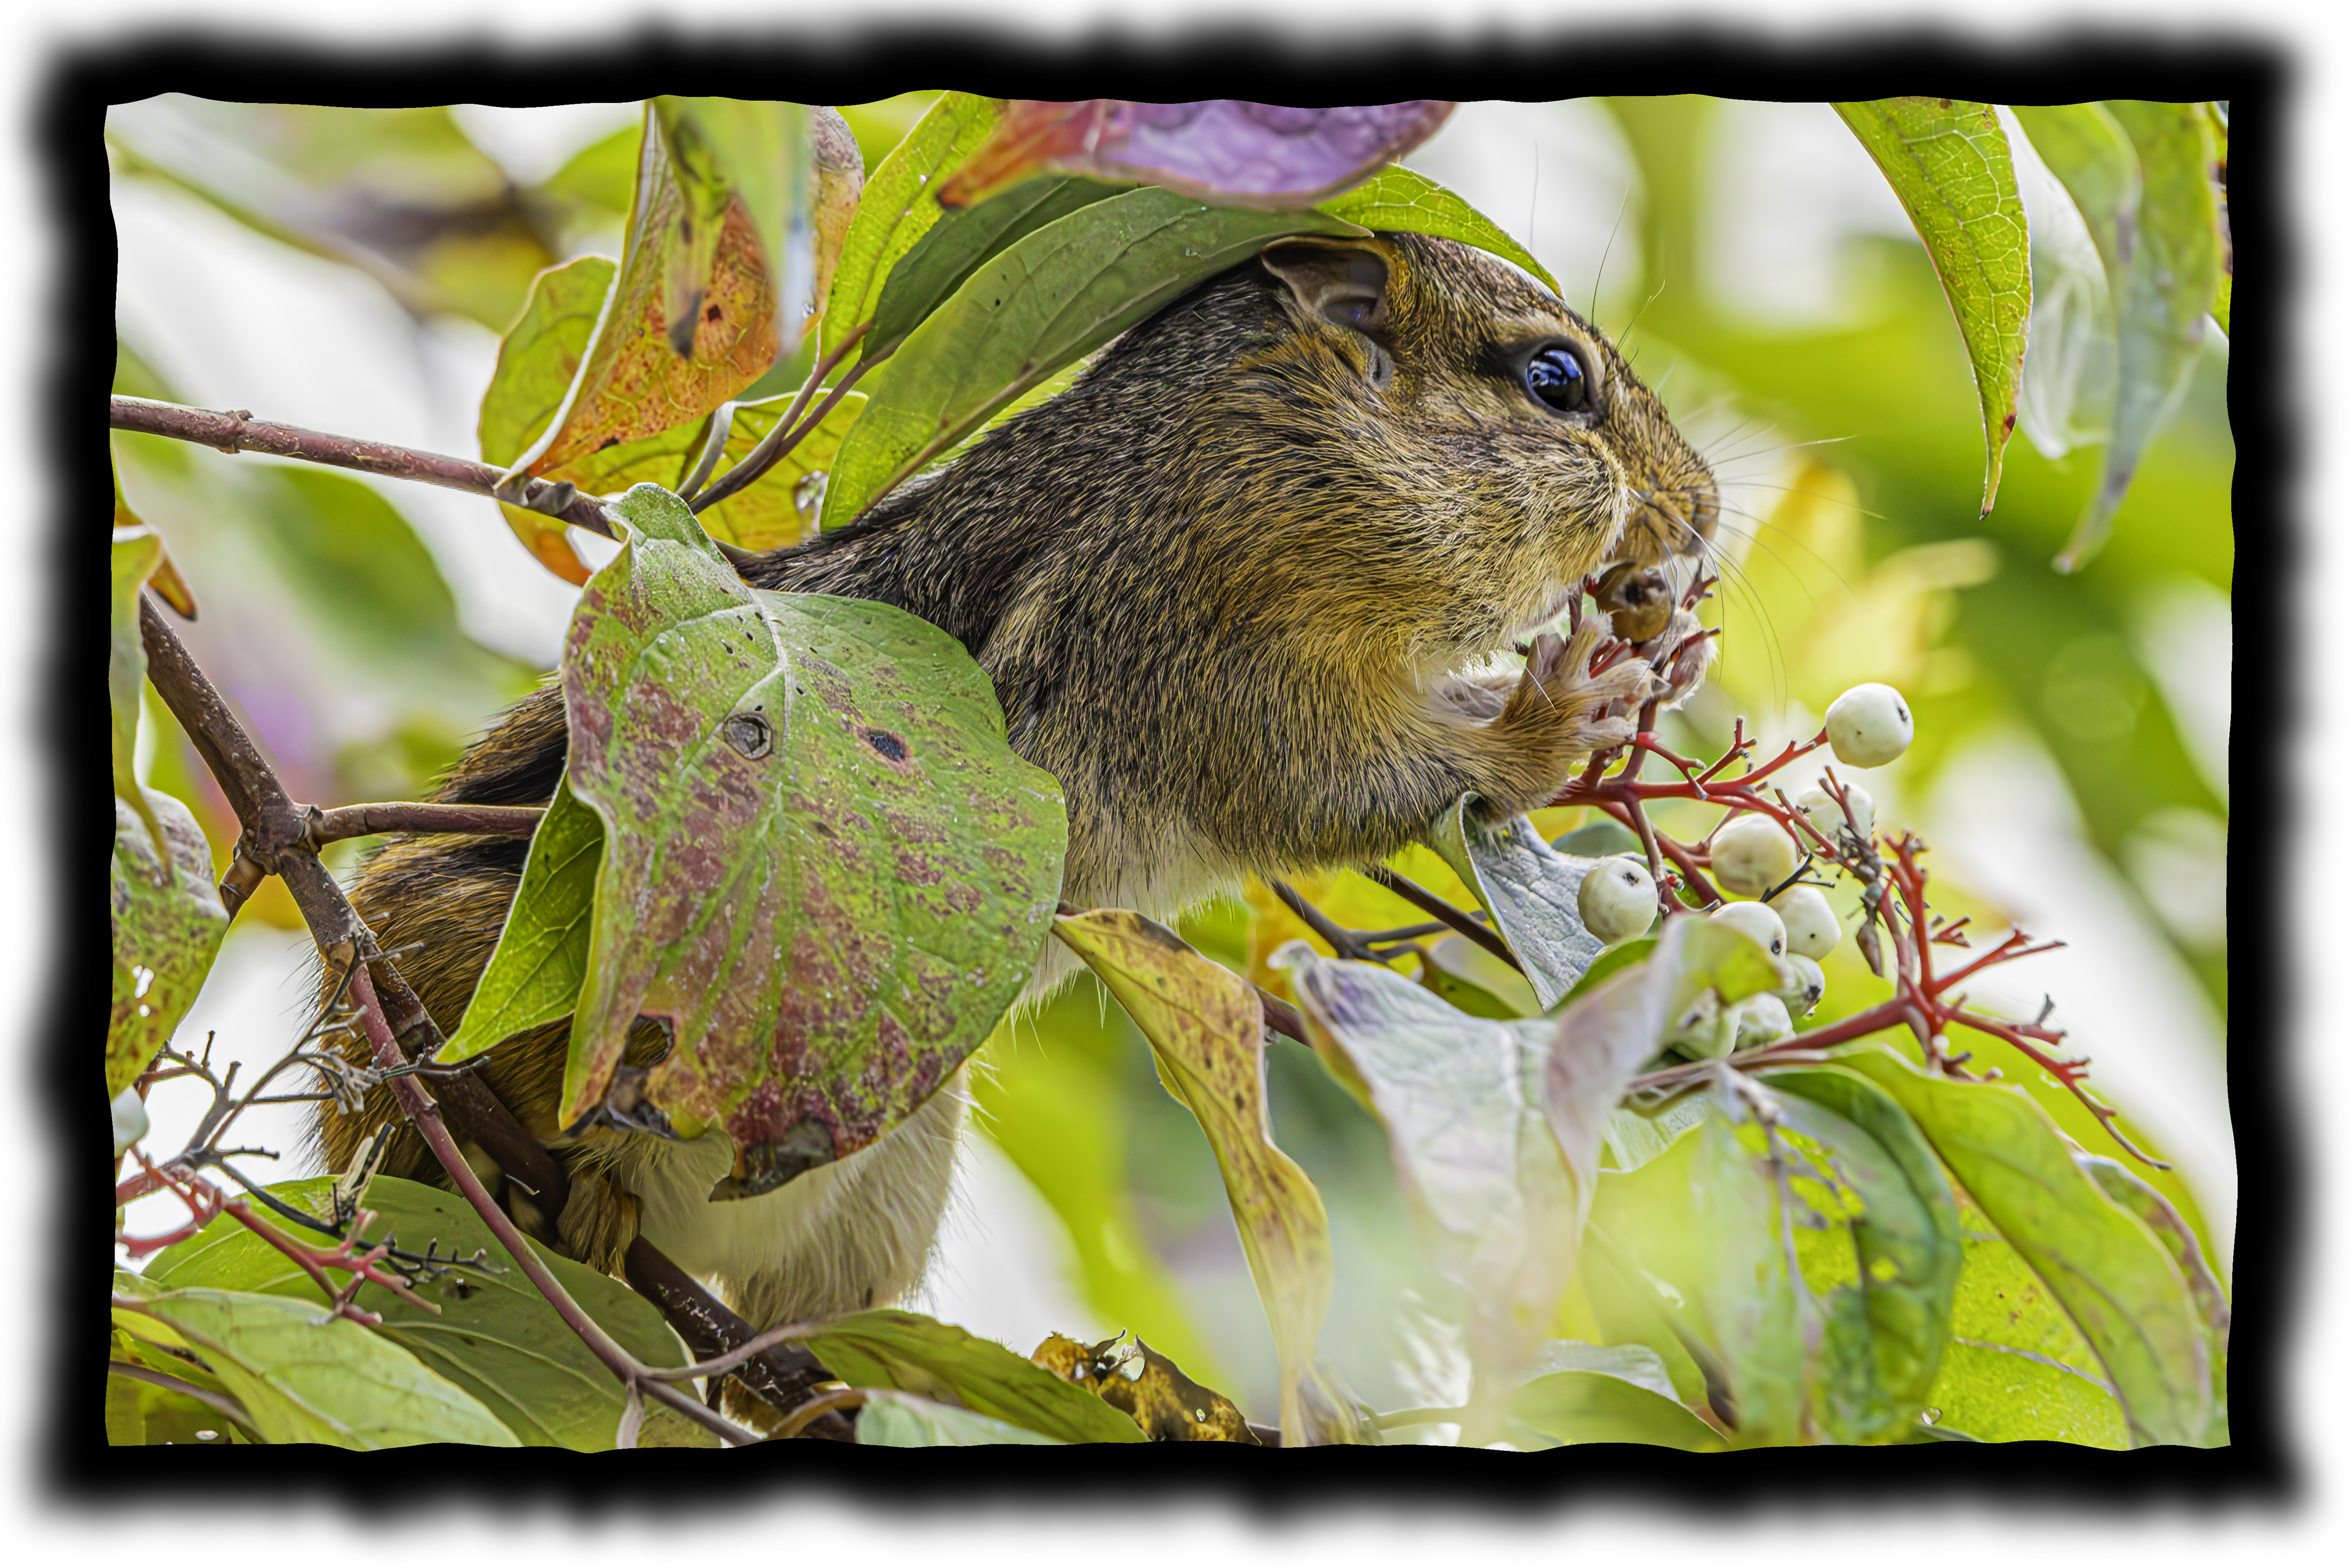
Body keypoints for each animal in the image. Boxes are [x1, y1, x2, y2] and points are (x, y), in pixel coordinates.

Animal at [314, 231, 1718, 1421]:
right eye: (1555, 380)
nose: (1703, 513)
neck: (1278, 443)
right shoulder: (1210, 649)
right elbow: (1349, 785)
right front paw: (1560, 711)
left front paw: (1656, 662)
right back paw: (556, 1190)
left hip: (888, 1173)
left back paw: (810, 1383)